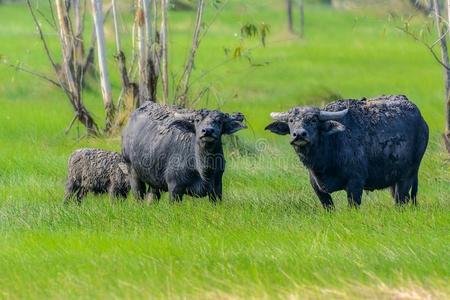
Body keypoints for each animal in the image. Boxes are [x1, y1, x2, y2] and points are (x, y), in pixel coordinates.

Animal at [268, 95, 428, 209]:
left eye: (313, 120)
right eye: (291, 120)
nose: (299, 135)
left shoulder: (355, 184)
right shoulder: (318, 189)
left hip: (408, 176)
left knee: (402, 201)